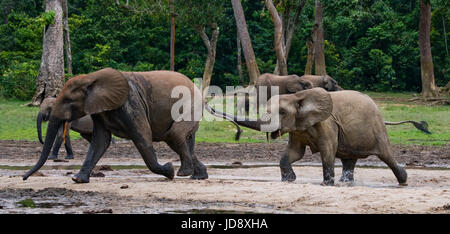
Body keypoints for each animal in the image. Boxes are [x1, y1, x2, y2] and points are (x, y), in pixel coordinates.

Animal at [23, 67, 243, 183]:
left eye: (68, 101)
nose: (24, 178)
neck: (93, 78)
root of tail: (201, 94)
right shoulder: (100, 109)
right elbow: (100, 142)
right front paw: (78, 180)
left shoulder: (131, 104)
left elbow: (142, 136)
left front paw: (168, 171)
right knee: (182, 140)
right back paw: (199, 177)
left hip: (189, 107)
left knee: (174, 136)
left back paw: (183, 173)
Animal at [209, 88, 410, 186]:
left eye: (282, 112)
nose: (210, 107)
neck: (298, 97)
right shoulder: (297, 128)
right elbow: (294, 152)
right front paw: (289, 180)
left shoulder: (327, 122)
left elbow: (327, 149)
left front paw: (326, 184)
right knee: (348, 159)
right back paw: (345, 182)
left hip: (377, 129)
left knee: (386, 155)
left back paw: (403, 179)